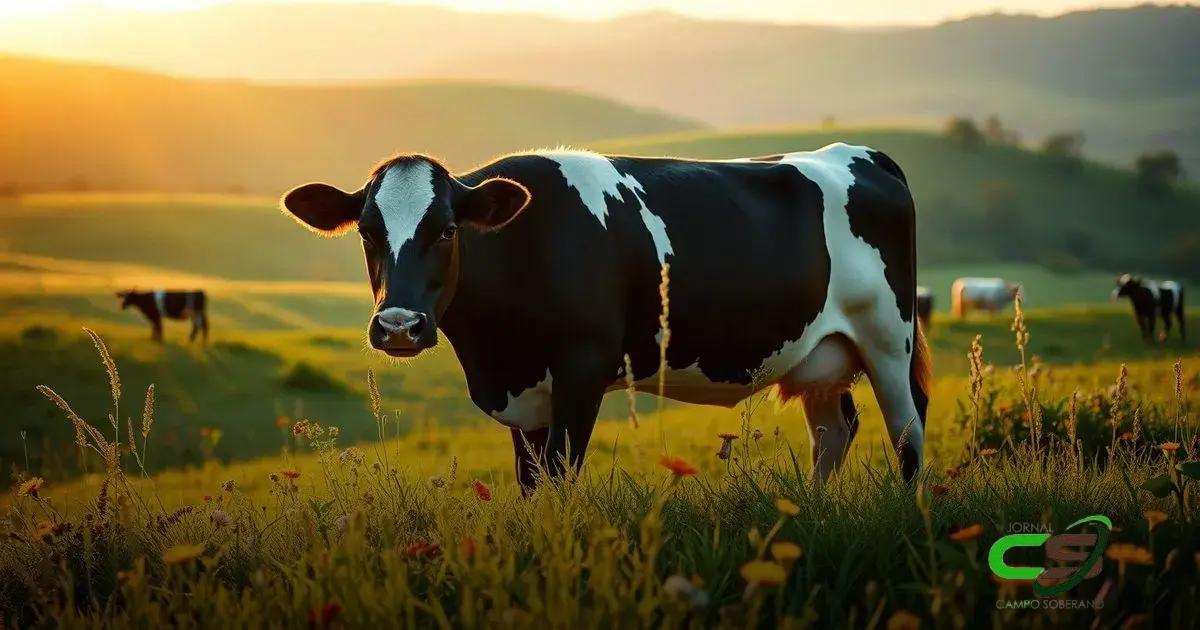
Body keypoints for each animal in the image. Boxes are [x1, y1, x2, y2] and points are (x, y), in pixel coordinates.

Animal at [280, 143, 930, 492]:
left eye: (445, 230)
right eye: (367, 232)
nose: (398, 326)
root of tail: (858, 153)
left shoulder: (581, 370)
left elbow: (560, 475)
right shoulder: (524, 391)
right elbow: (531, 482)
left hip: (888, 338)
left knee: (908, 430)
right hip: (822, 357)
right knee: (835, 431)